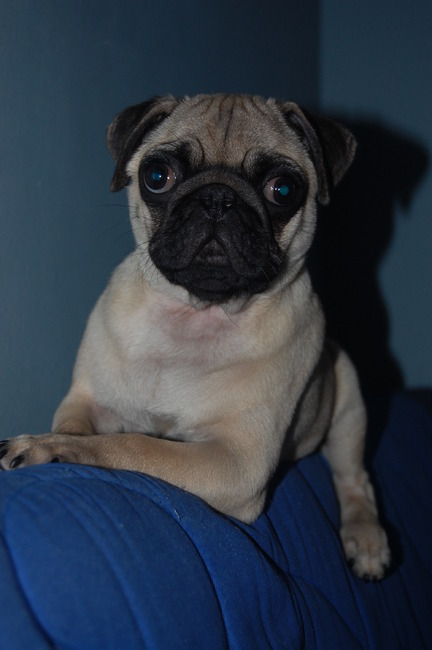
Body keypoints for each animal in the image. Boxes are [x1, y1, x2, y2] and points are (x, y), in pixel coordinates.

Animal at [0, 94, 390, 580]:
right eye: (156, 176)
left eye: (283, 189)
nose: (217, 198)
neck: (195, 314)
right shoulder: (87, 402)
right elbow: (82, 427)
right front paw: (60, 441)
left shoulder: (236, 463)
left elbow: (133, 445)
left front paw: (52, 449)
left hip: (347, 399)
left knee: (354, 478)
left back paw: (366, 539)